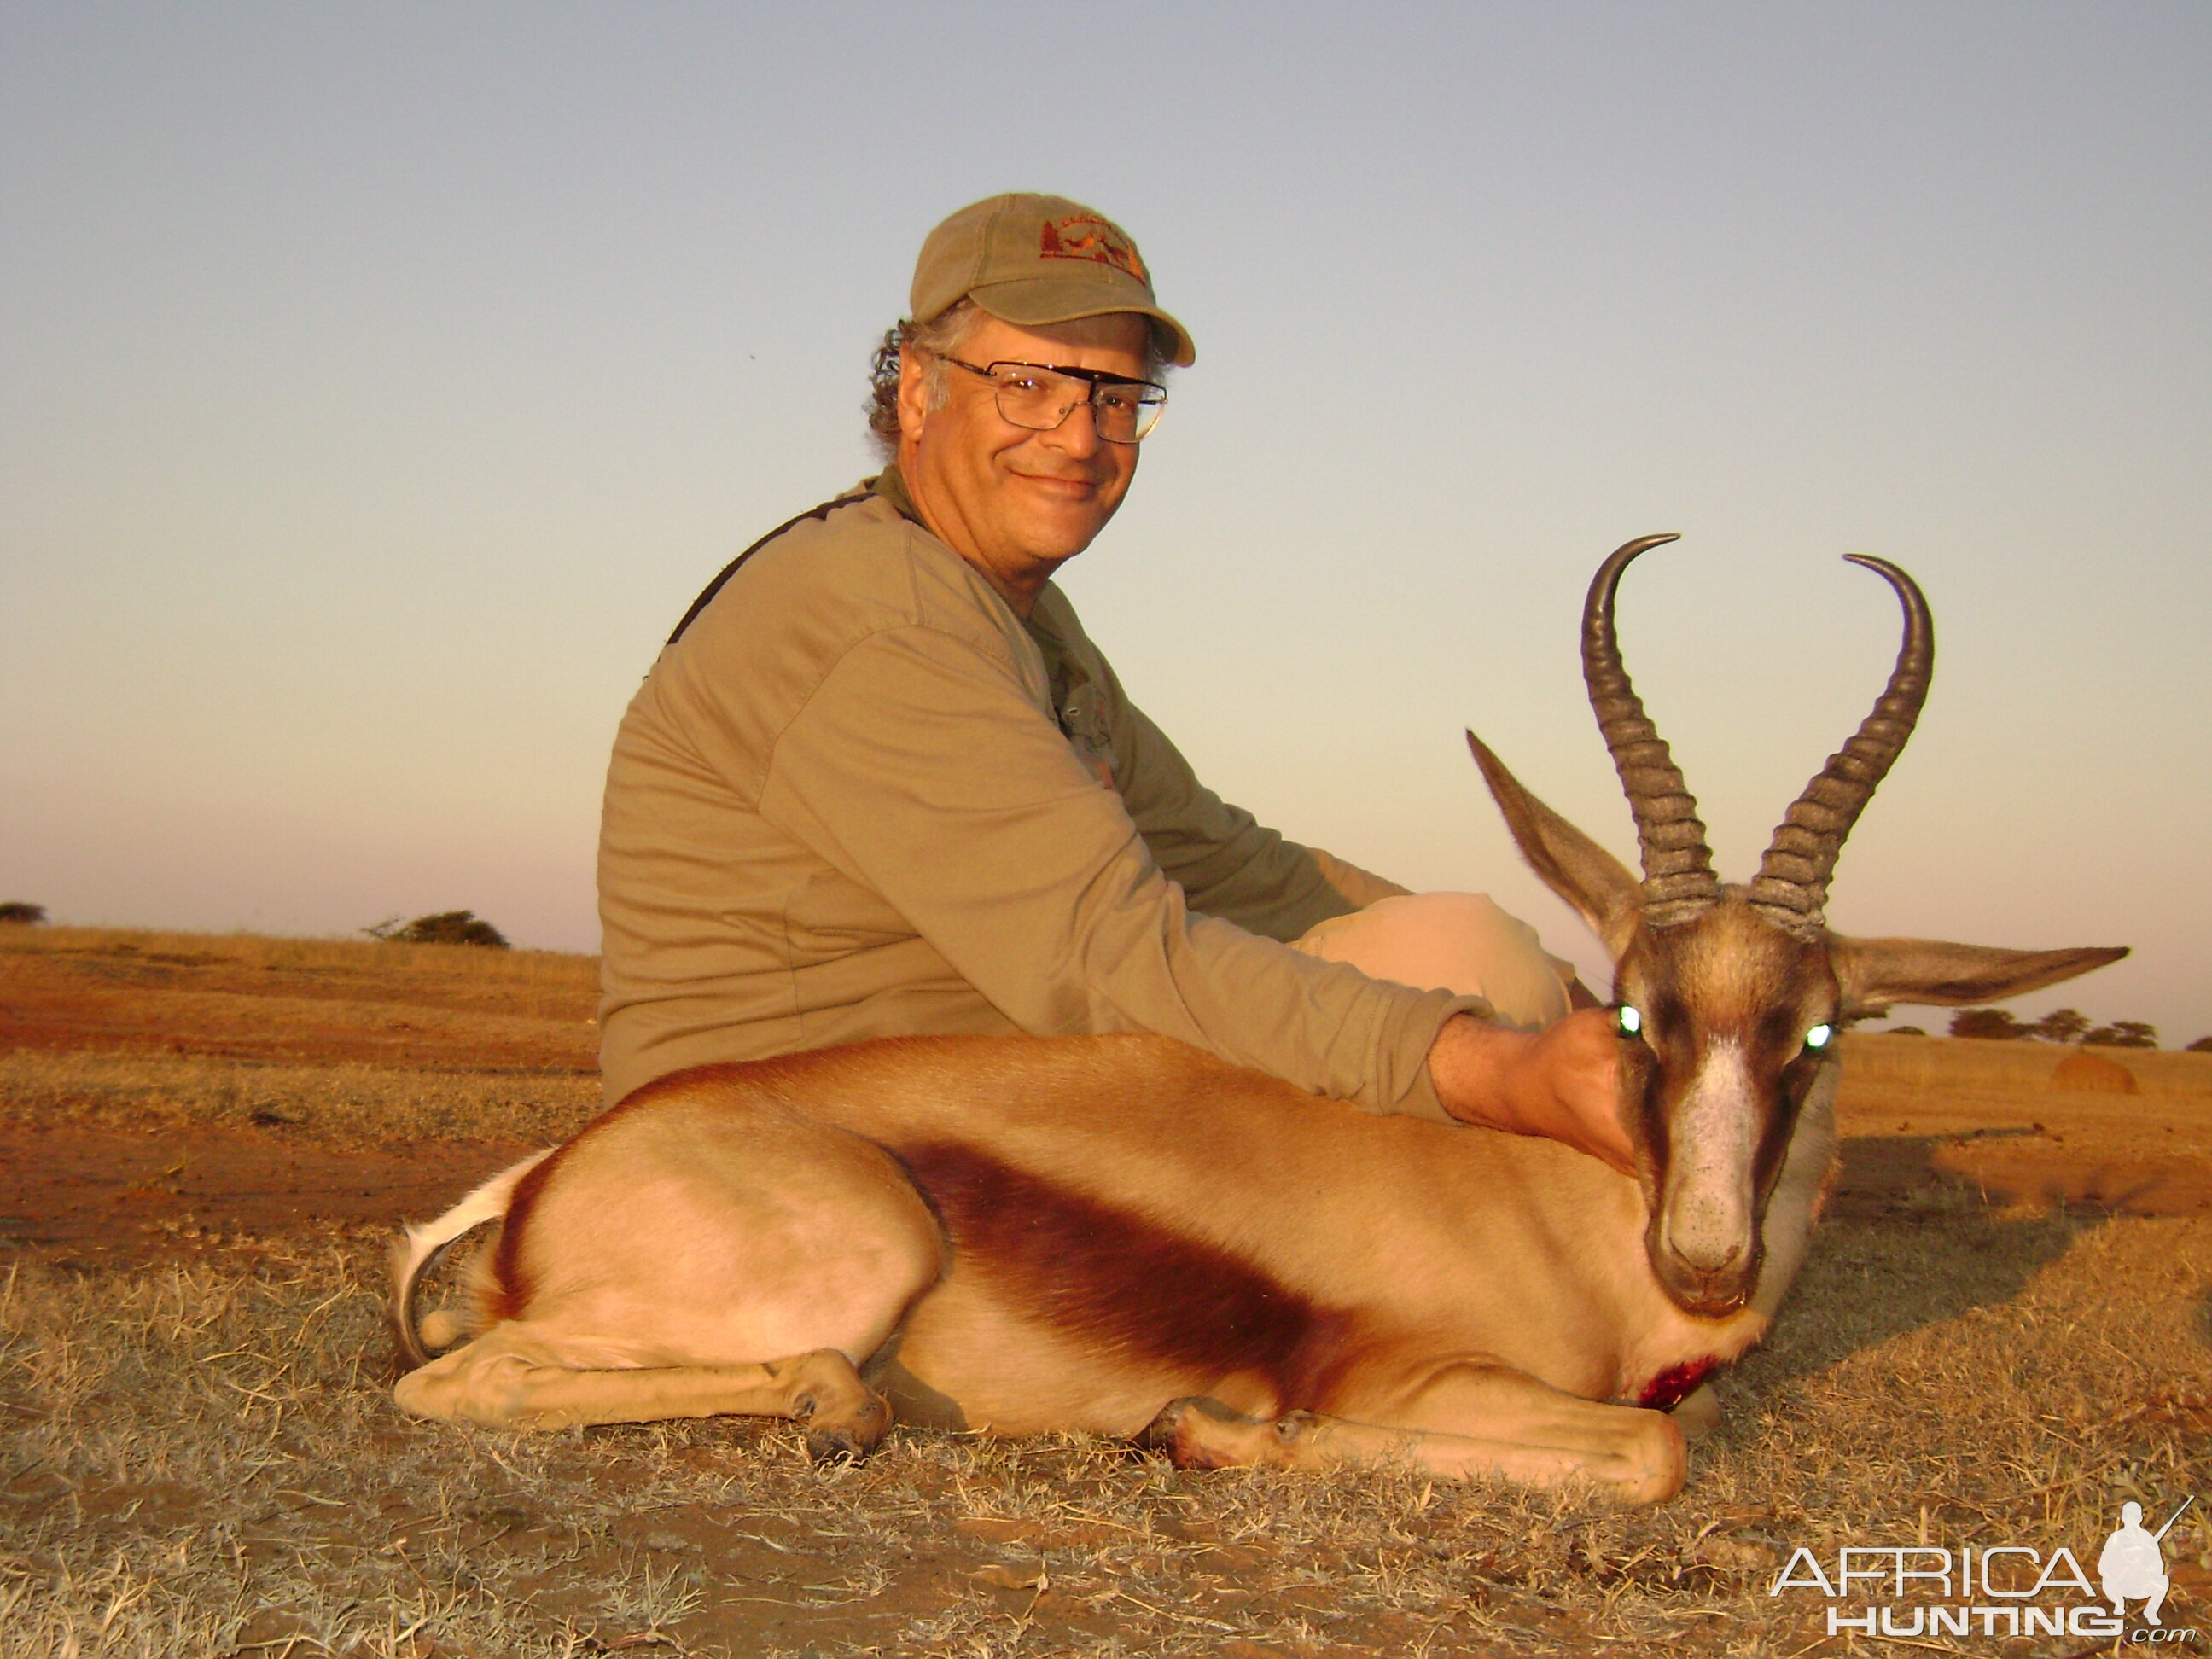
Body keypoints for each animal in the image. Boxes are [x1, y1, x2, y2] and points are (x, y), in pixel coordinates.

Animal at [389, 542, 2114, 1504]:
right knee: (458, 1392)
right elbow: (1653, 1453)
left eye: (1814, 1034)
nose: (1708, 1255)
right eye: (1634, 1012)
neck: (1565, 1211)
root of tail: (542, 1186)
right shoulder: (1412, 1386)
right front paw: (1206, 1431)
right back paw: (839, 1405)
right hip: (857, 1254)